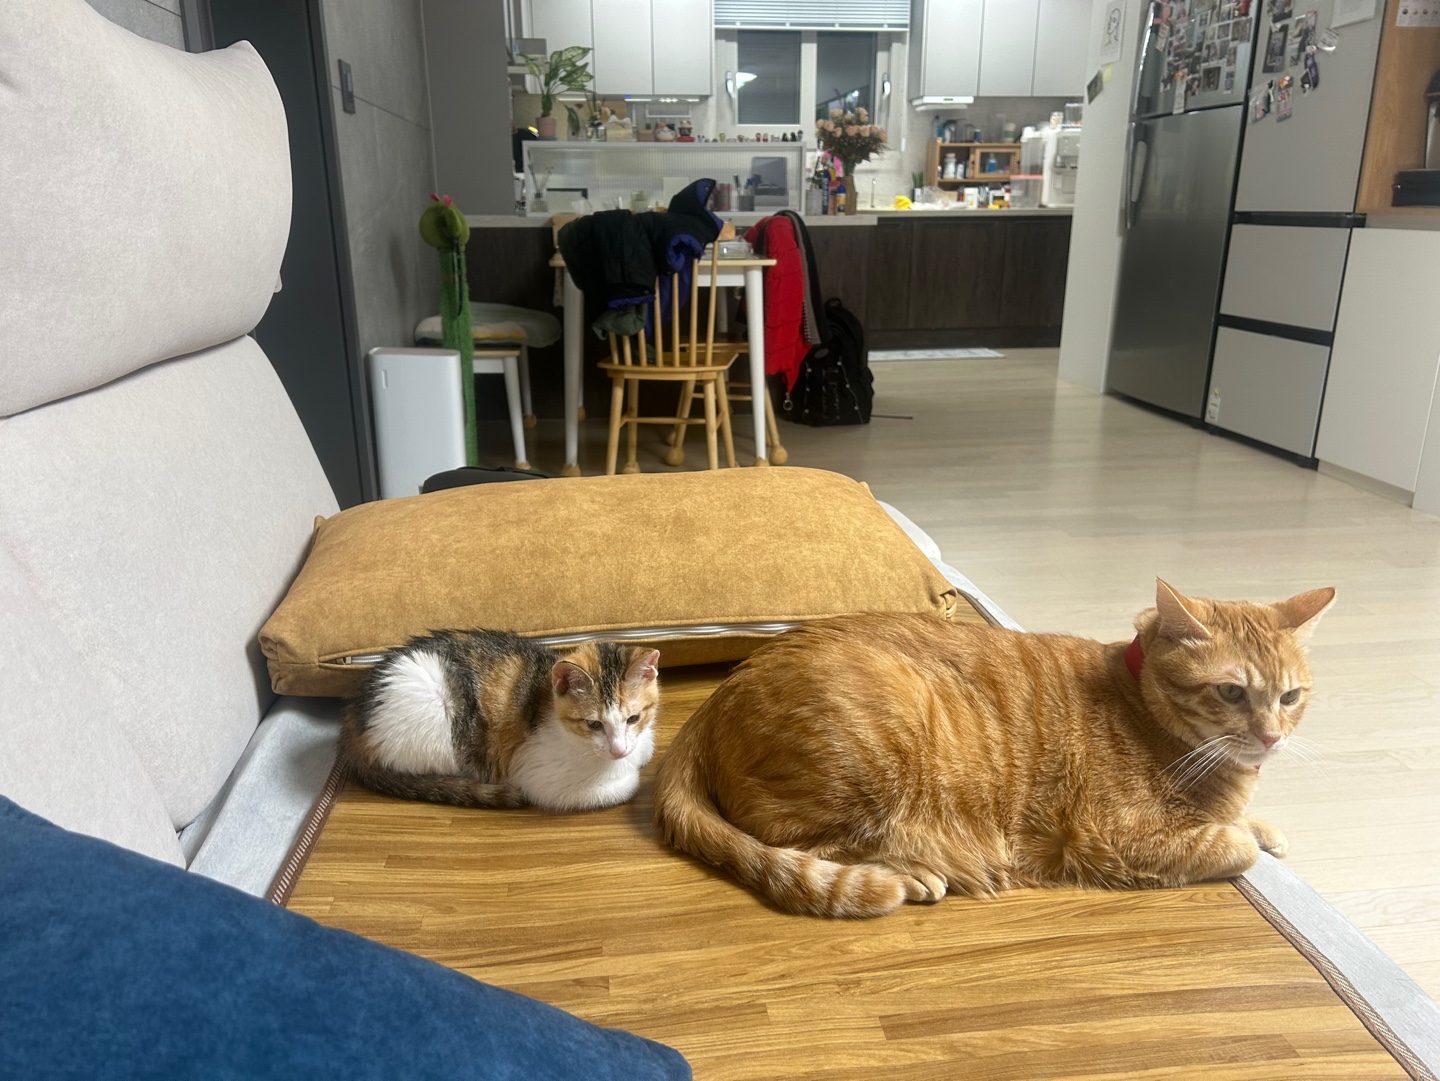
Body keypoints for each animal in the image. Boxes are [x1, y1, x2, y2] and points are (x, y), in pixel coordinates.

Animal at [342, 630, 661, 813]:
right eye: (594, 724)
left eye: (633, 718)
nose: (619, 750)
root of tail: (353, 720)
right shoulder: (537, 778)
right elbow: (624, 786)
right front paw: (630, 775)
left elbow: (646, 749)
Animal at [654, 580, 1334, 918]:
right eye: (1231, 691)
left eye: (1291, 697)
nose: (1271, 736)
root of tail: (722, 690)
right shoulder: (1122, 839)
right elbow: (1235, 847)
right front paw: (1248, 835)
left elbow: (1248, 827)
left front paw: (1263, 824)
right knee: (804, 841)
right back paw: (914, 872)